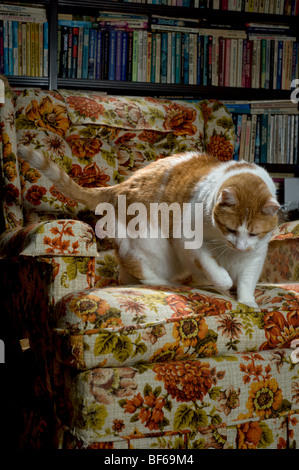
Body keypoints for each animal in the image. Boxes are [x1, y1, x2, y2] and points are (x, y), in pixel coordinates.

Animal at [18, 147, 282, 308]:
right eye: (230, 229)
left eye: (253, 233)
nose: (240, 246)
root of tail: (122, 186)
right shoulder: (190, 241)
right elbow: (215, 270)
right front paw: (223, 282)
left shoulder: (255, 255)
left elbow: (247, 280)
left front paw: (248, 302)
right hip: (154, 245)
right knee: (140, 269)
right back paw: (168, 283)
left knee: (126, 273)